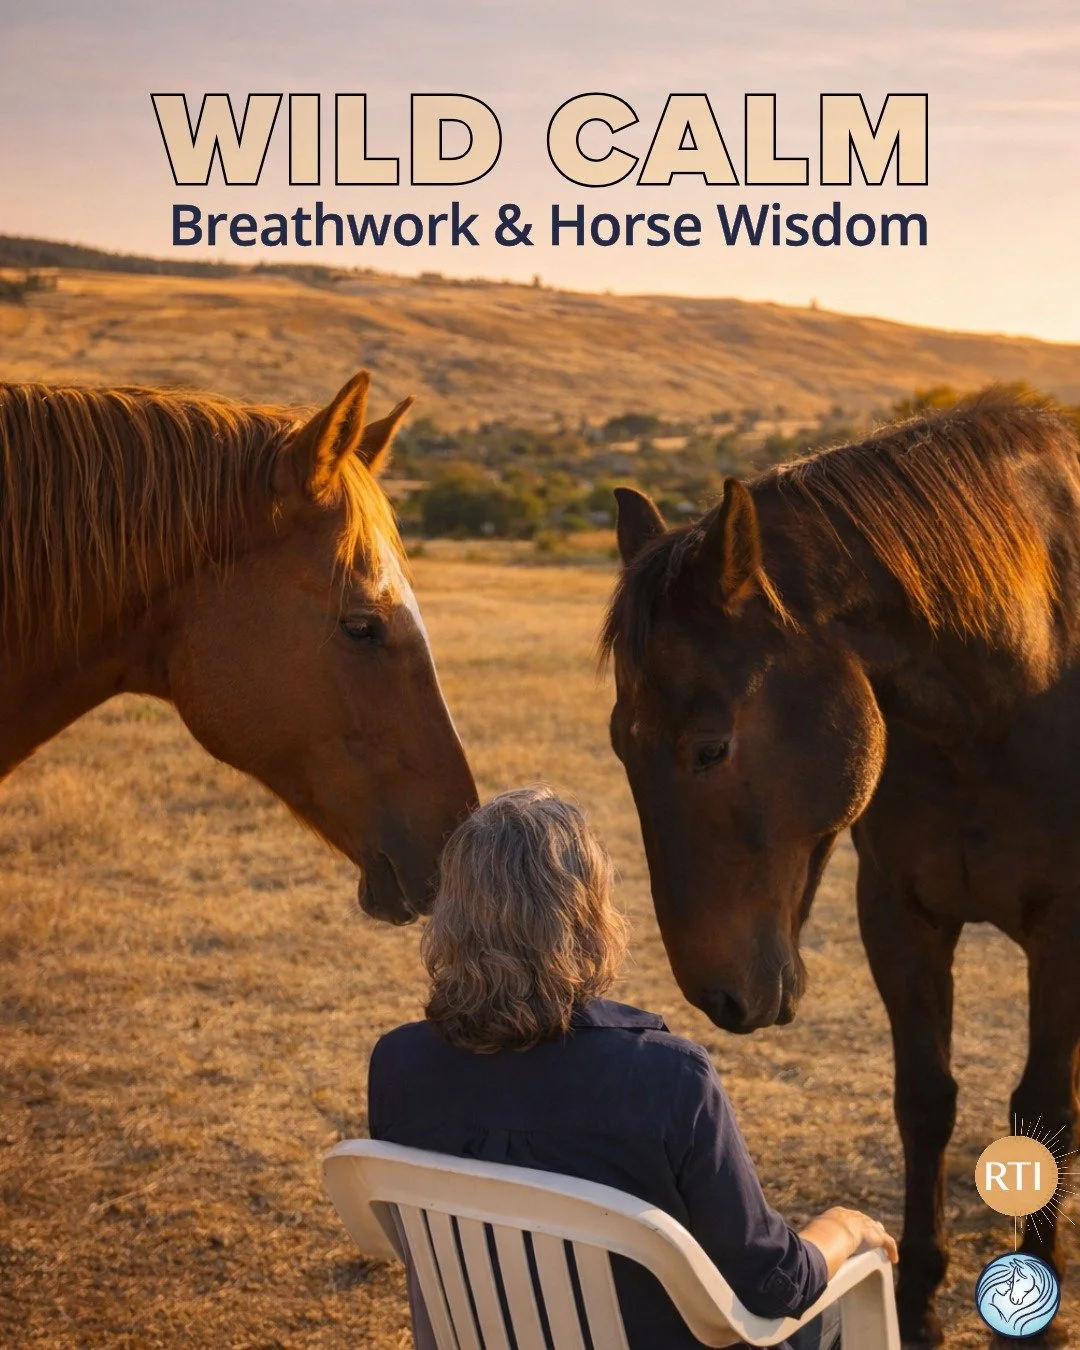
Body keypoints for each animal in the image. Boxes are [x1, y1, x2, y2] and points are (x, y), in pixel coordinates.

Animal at [602, 392, 1080, 1346]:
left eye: (711, 746)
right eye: (616, 745)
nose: (719, 997)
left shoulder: (1066, 929)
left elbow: (1044, 1109)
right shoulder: (899, 915)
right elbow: (926, 1098)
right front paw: (921, 1297)